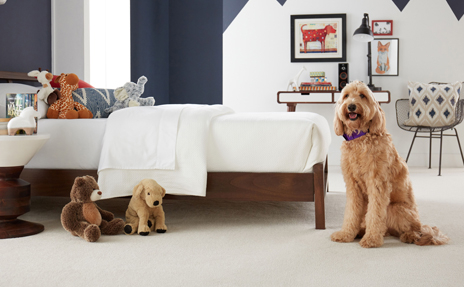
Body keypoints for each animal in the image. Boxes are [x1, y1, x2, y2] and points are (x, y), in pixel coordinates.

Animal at [332, 81, 448, 250]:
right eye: (346, 96)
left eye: (362, 95)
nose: (351, 106)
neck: (360, 137)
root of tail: (421, 225)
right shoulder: (353, 186)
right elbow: (351, 212)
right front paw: (346, 234)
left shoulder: (377, 184)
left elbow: (375, 215)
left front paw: (372, 239)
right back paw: (361, 231)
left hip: (395, 208)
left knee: (412, 231)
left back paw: (408, 236)